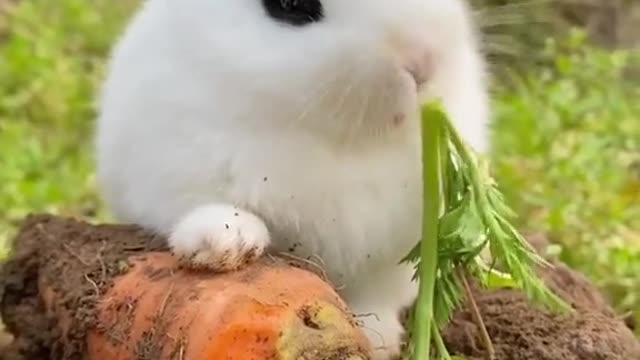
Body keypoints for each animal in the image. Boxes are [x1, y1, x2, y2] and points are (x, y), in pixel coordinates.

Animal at [94, 0, 490, 358]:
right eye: (290, 6)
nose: (423, 59)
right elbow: (210, 209)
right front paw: (225, 244)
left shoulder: (393, 255)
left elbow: (374, 300)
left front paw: (379, 341)